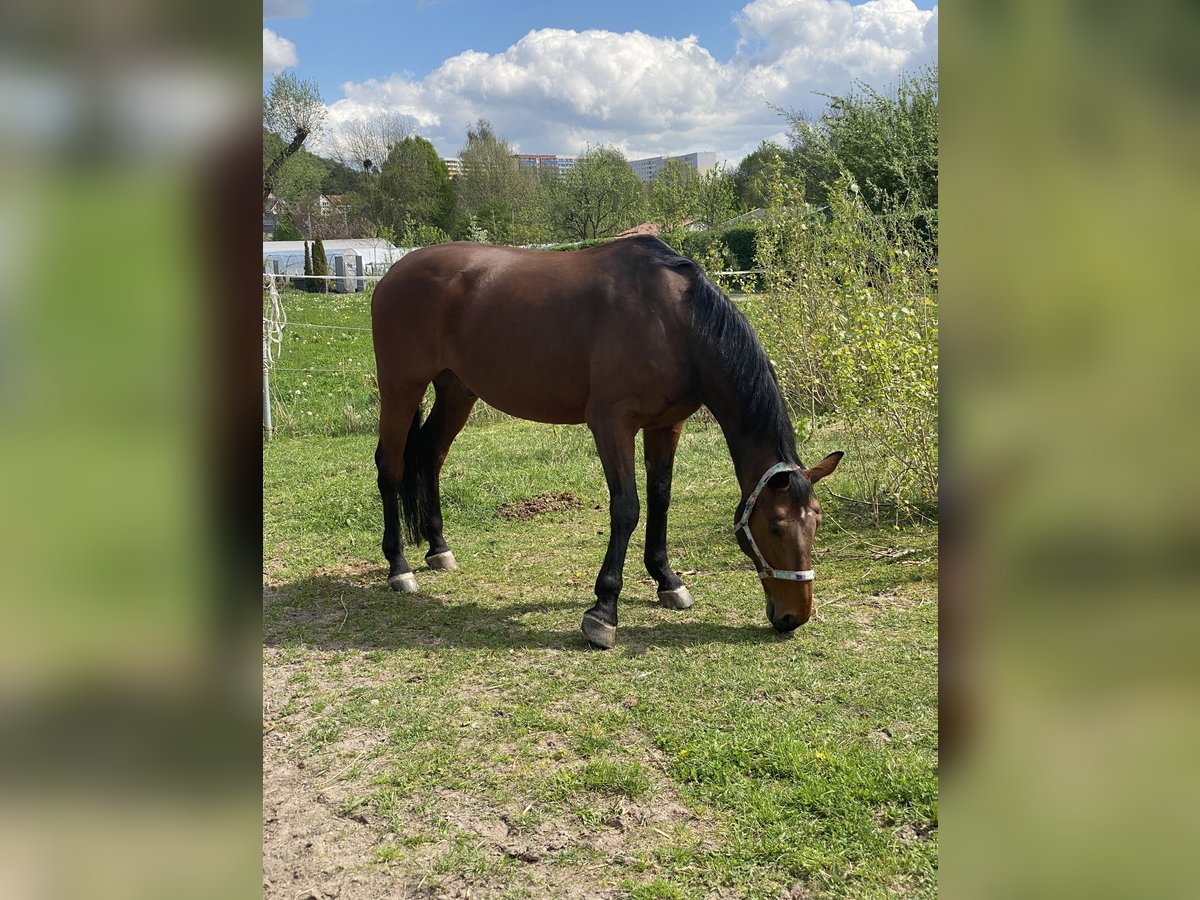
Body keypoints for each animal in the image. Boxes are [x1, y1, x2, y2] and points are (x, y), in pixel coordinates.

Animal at [367, 236, 844, 652]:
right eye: (775, 526)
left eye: (816, 523)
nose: (794, 617)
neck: (672, 319)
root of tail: (394, 272)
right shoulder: (611, 424)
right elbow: (627, 507)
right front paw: (603, 611)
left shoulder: (666, 425)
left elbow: (660, 497)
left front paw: (668, 580)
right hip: (400, 387)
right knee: (390, 467)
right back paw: (399, 568)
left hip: (456, 390)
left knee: (430, 455)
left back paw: (438, 548)